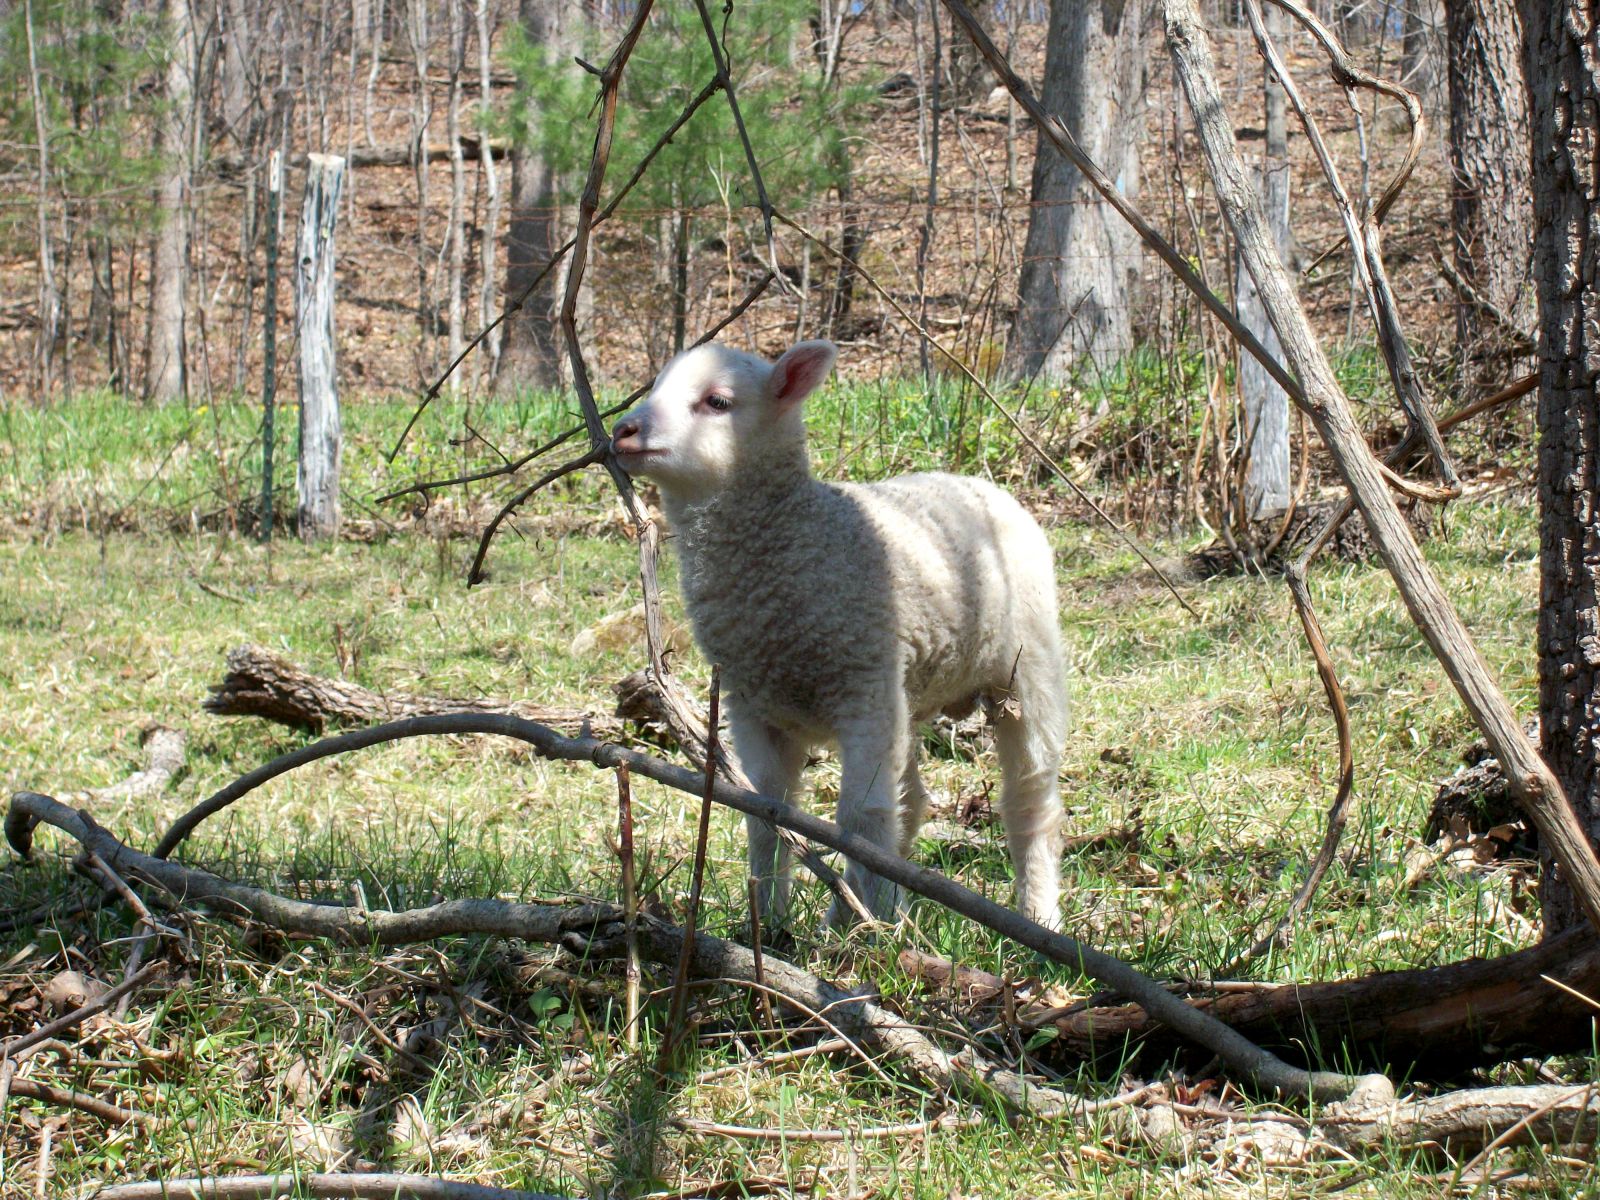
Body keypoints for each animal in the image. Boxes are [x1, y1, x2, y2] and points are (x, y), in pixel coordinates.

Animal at [608, 339, 1062, 928]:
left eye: (717, 401)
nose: (625, 431)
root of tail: (980, 483)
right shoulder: (751, 701)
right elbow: (766, 812)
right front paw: (771, 920)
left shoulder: (861, 683)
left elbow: (862, 815)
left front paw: (879, 929)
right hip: (907, 687)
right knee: (911, 799)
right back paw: (849, 910)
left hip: (1026, 664)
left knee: (1030, 794)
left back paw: (1035, 912)